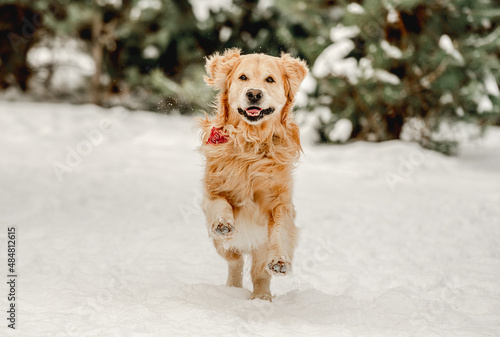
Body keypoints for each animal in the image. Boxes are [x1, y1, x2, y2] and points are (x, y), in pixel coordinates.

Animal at [197, 47, 306, 300]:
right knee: (234, 260)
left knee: (259, 273)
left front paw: (280, 261)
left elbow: (280, 229)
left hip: (260, 245)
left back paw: (262, 298)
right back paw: (233, 288)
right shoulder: (213, 188)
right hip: (222, 246)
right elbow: (220, 203)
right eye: (243, 77)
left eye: (270, 79)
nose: (254, 94)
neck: (251, 144)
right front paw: (223, 222)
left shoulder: (280, 202)